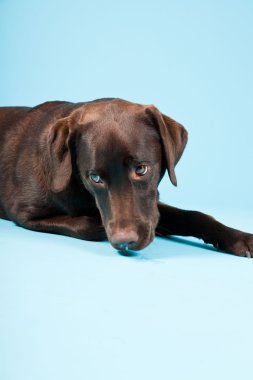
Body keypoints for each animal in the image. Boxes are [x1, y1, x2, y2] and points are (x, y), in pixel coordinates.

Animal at [0, 98, 253, 256]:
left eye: (141, 169)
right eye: (95, 177)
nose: (125, 241)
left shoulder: (151, 207)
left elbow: (195, 215)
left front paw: (239, 238)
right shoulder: (24, 215)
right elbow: (88, 225)